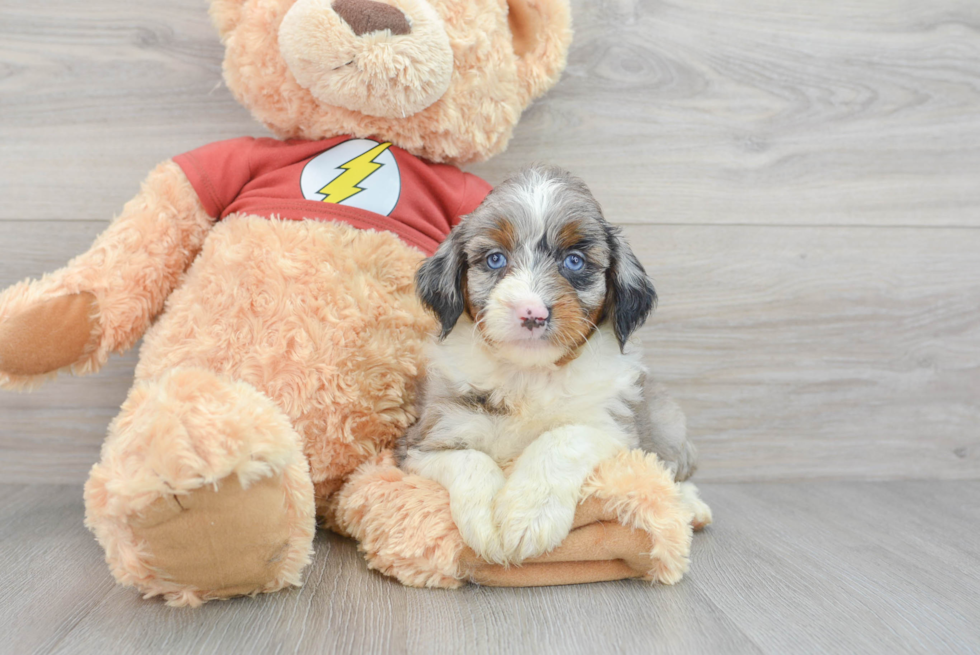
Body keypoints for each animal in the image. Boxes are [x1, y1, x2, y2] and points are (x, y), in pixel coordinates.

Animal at [394, 167, 692, 568]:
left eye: (574, 261)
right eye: (495, 259)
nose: (531, 312)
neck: (528, 374)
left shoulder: (614, 427)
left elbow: (562, 439)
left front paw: (528, 514)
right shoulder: (421, 440)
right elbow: (469, 458)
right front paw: (487, 521)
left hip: (665, 422)